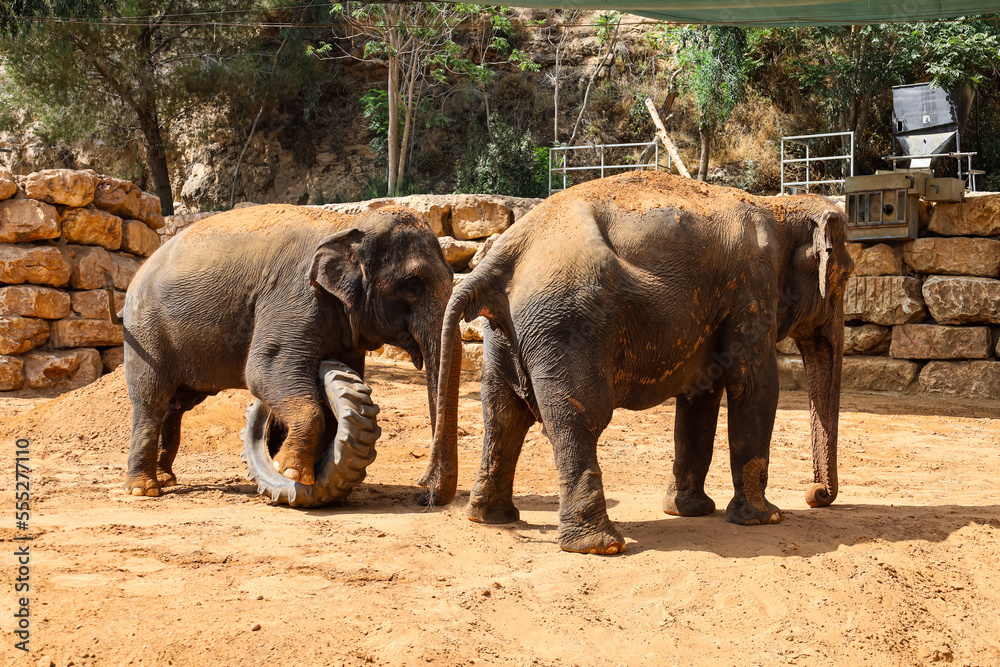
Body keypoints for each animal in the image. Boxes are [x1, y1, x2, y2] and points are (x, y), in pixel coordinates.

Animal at [122, 204, 460, 500]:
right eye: (413, 282)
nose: (423, 492)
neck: (347, 225)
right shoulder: (294, 297)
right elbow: (263, 372)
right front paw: (289, 472)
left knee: (176, 405)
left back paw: (165, 478)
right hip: (145, 331)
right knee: (151, 399)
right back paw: (143, 490)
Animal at [428, 171, 852, 552]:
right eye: (846, 278)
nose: (815, 493)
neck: (779, 207)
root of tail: (499, 255)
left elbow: (701, 394)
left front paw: (689, 511)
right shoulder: (752, 288)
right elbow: (756, 385)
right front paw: (765, 518)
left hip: (504, 333)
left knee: (503, 414)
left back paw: (489, 518)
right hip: (567, 324)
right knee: (580, 415)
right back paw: (600, 546)